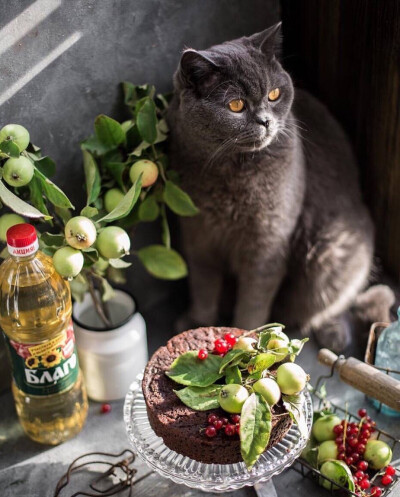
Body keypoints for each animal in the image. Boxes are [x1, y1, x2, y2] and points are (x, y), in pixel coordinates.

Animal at [166, 22, 394, 348]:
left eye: (274, 94)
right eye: (236, 105)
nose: (265, 121)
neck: (229, 174)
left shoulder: (267, 245)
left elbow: (253, 302)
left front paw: (246, 336)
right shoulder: (198, 236)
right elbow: (203, 286)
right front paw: (197, 323)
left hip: (334, 251)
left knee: (335, 297)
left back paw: (334, 333)